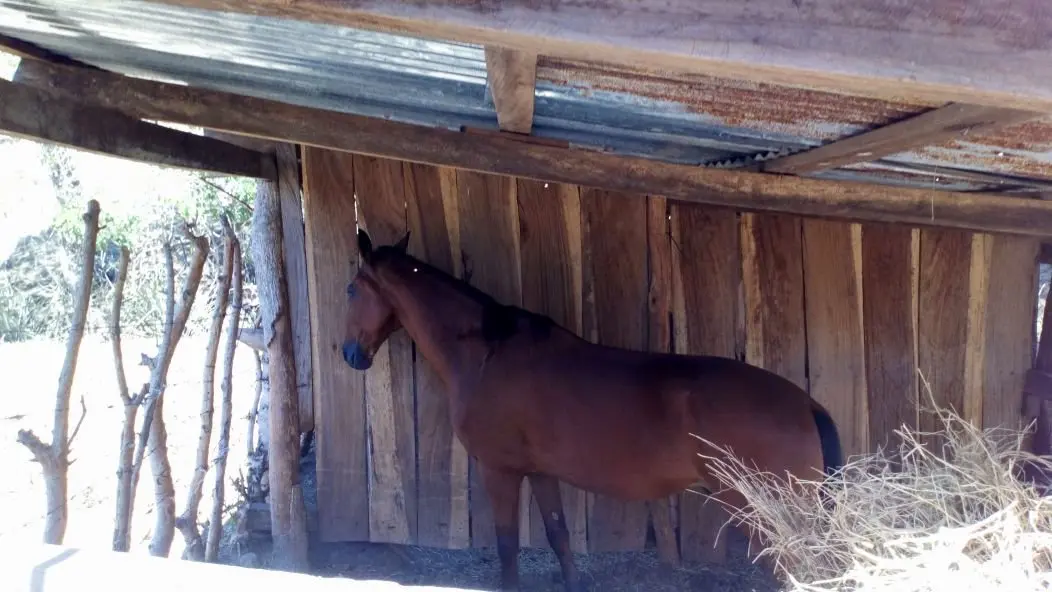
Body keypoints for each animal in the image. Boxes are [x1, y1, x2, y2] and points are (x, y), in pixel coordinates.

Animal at [341, 229, 842, 592]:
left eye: (350, 290)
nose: (350, 354)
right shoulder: (540, 472)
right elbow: (559, 537)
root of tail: (806, 404)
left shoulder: (499, 471)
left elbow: (507, 545)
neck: (486, 352)